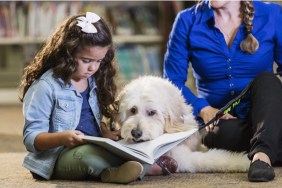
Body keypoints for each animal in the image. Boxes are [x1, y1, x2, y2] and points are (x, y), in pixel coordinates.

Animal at [114, 75, 249, 173]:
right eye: (133, 110)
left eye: (152, 112)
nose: (135, 133)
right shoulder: (182, 157)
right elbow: (215, 159)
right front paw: (244, 161)